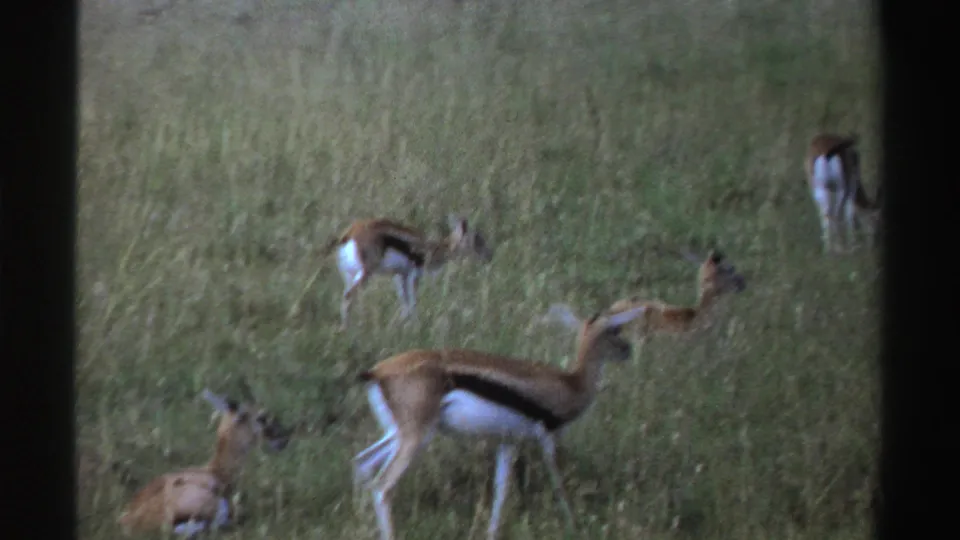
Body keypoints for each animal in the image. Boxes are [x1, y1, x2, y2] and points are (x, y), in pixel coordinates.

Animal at [300, 215, 493, 331]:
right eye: (478, 239)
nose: (488, 256)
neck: (432, 249)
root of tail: (350, 232)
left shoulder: (400, 276)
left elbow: (404, 302)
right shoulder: (413, 275)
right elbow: (413, 302)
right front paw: (415, 327)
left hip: (349, 275)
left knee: (346, 297)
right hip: (365, 274)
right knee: (348, 297)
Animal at [351, 304, 648, 540]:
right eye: (615, 330)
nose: (628, 350)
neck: (571, 383)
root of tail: (377, 372)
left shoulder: (508, 443)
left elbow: (500, 491)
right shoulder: (547, 438)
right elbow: (559, 484)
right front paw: (573, 526)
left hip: (398, 433)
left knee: (362, 463)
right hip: (415, 437)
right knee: (382, 487)